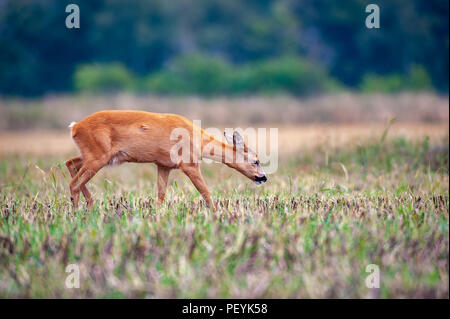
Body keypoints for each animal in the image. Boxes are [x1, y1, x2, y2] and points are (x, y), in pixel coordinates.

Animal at [66, 110, 268, 212]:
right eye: (256, 161)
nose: (263, 177)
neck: (199, 141)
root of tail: (75, 127)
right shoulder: (189, 164)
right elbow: (206, 192)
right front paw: (217, 215)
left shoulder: (163, 165)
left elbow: (160, 196)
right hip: (97, 157)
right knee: (73, 183)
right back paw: (78, 215)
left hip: (94, 156)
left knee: (70, 164)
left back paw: (90, 205)